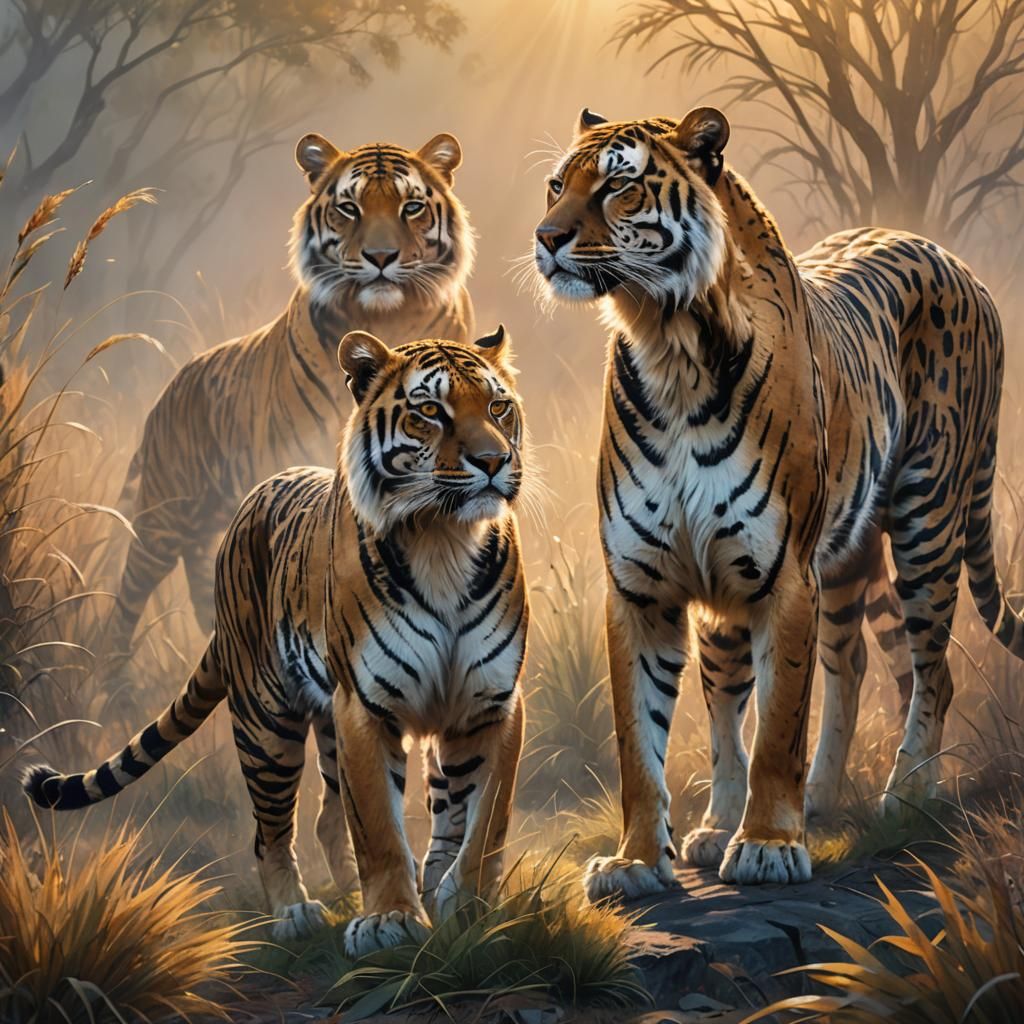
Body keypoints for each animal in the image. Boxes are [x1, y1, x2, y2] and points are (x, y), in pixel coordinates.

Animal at [25, 326, 528, 954]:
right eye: (430, 411)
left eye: (498, 407)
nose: (493, 461)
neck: (445, 541)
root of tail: (251, 499)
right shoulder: (365, 707)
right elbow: (379, 828)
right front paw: (392, 920)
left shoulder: (491, 704)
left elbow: (485, 819)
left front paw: (469, 908)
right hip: (265, 721)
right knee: (270, 833)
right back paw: (295, 913)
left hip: (328, 726)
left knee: (332, 818)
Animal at [105, 131, 475, 659]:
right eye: (349, 208)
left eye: (411, 207)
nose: (381, 257)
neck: (387, 319)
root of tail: (171, 386)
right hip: (162, 516)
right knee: (126, 604)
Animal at [532, 105, 1023, 898]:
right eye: (557, 185)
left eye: (618, 186)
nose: (547, 238)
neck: (667, 342)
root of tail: (951, 258)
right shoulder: (642, 588)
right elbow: (645, 739)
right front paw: (638, 860)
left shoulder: (784, 575)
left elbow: (779, 721)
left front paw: (766, 845)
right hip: (842, 558)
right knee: (846, 663)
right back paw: (790, 805)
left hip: (928, 521)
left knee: (932, 671)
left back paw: (907, 793)